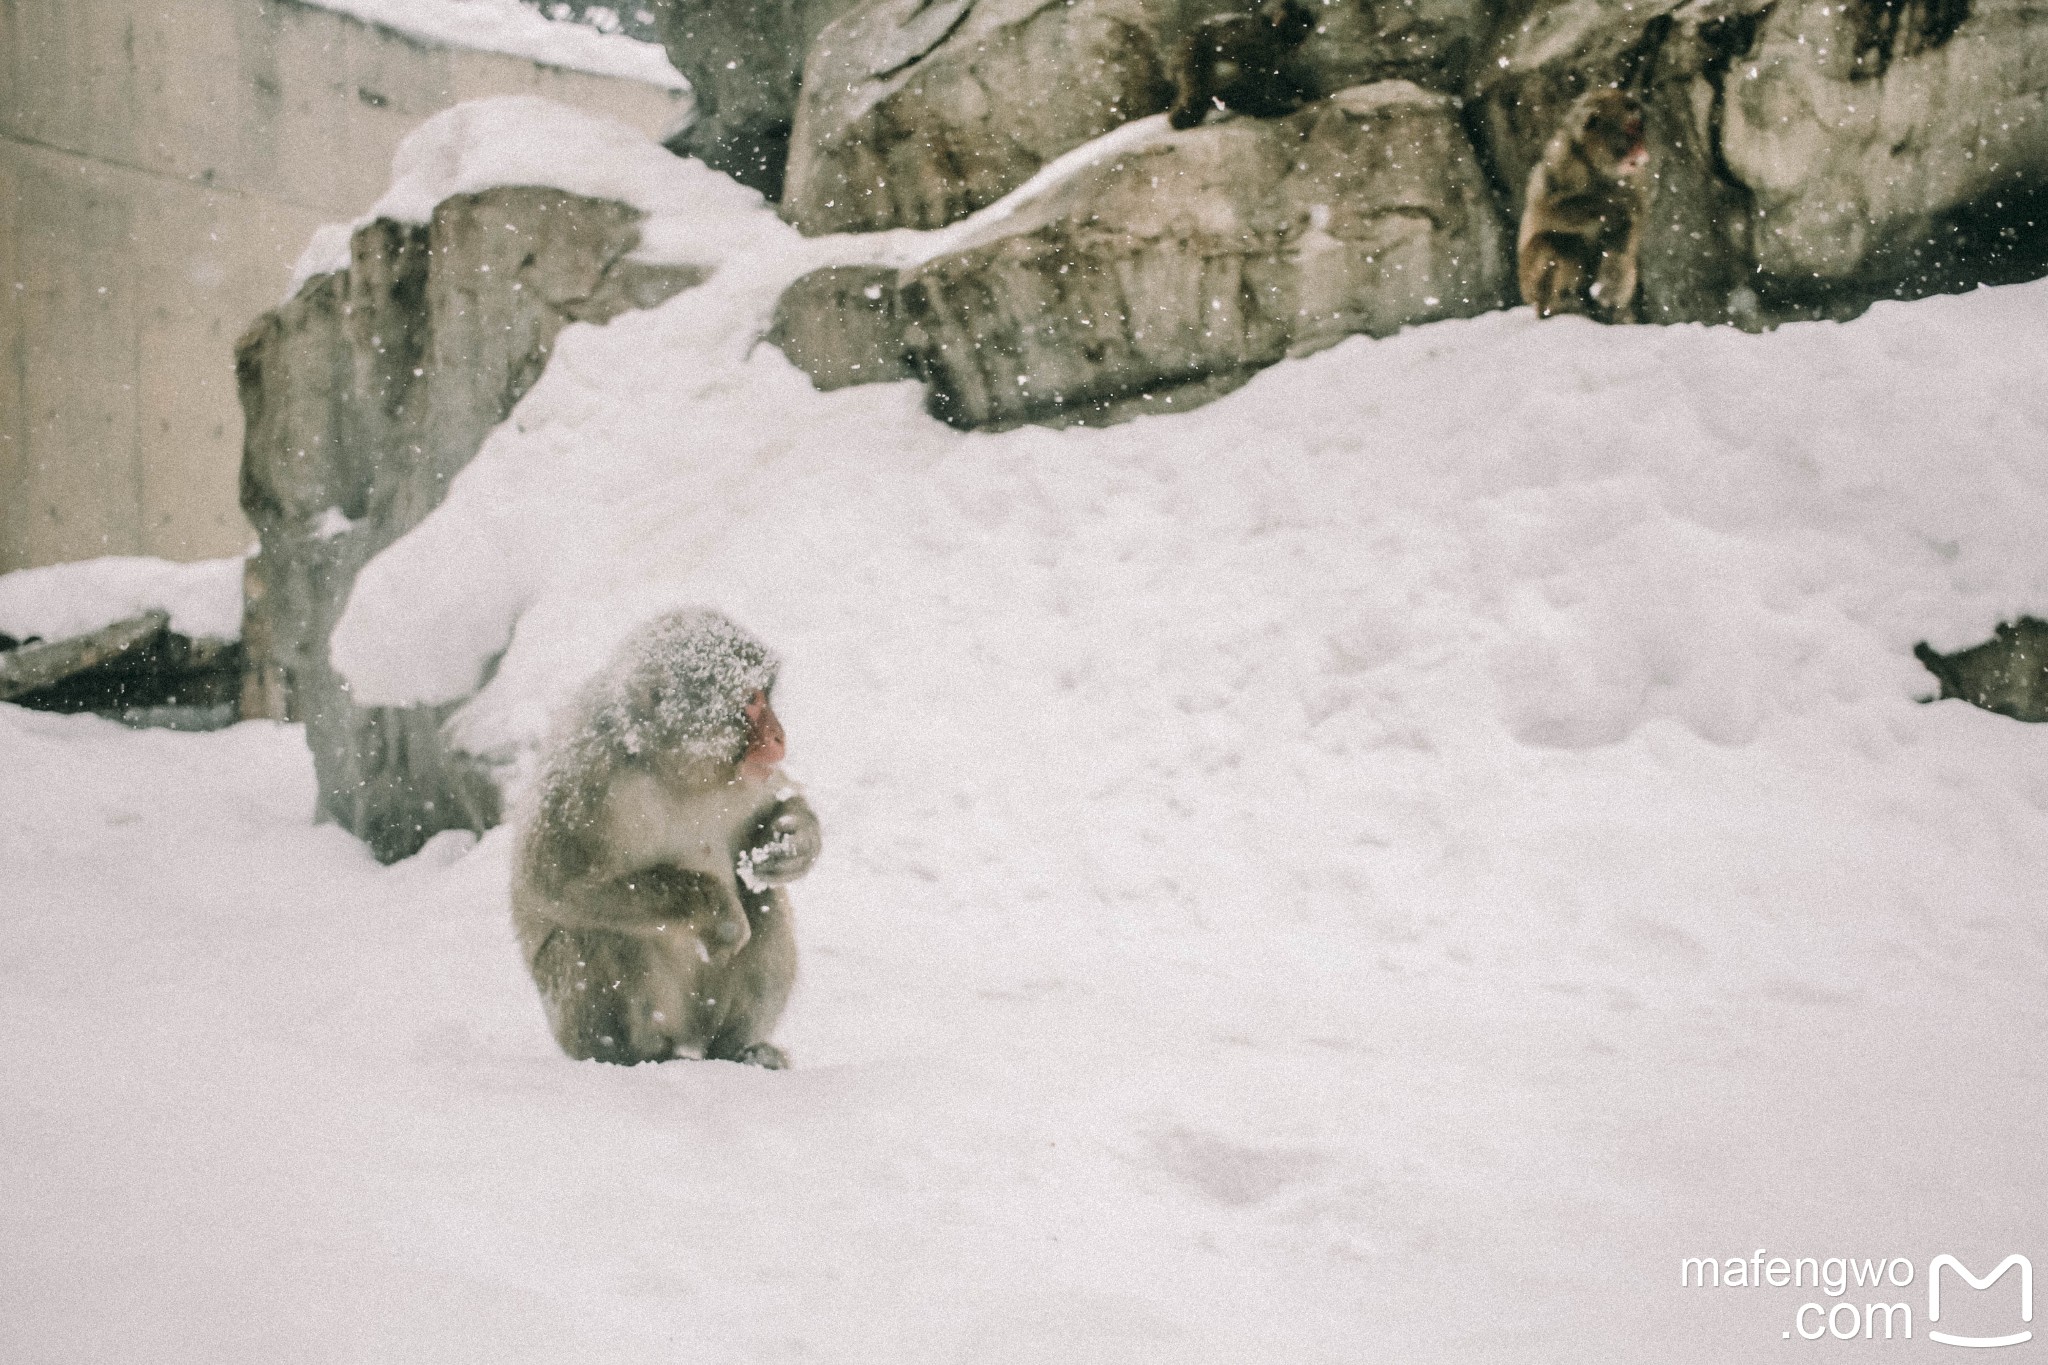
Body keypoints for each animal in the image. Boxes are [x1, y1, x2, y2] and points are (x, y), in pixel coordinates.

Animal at [507, 609, 819, 1064]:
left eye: (765, 694)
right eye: (751, 699)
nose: (780, 736)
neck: (674, 770)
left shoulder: (749, 778)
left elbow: (779, 802)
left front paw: (793, 841)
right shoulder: (581, 782)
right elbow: (553, 886)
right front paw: (717, 912)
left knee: (765, 899)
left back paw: (738, 1048)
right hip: (582, 1026)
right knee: (597, 930)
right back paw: (639, 1054)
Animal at [1163, 0, 1318, 130]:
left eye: (1302, 37)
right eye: (1299, 33)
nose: (1297, 49)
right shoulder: (1257, 51)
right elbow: (1257, 81)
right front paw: (1269, 108)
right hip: (1195, 60)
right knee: (1196, 94)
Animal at [1515, 90, 1654, 325]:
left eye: (1640, 130)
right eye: (1631, 130)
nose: (1643, 151)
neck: (1596, 164)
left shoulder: (1636, 178)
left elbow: (1625, 236)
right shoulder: (1560, 159)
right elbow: (1546, 210)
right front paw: (1613, 207)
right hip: (1529, 281)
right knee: (1562, 242)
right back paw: (1558, 307)